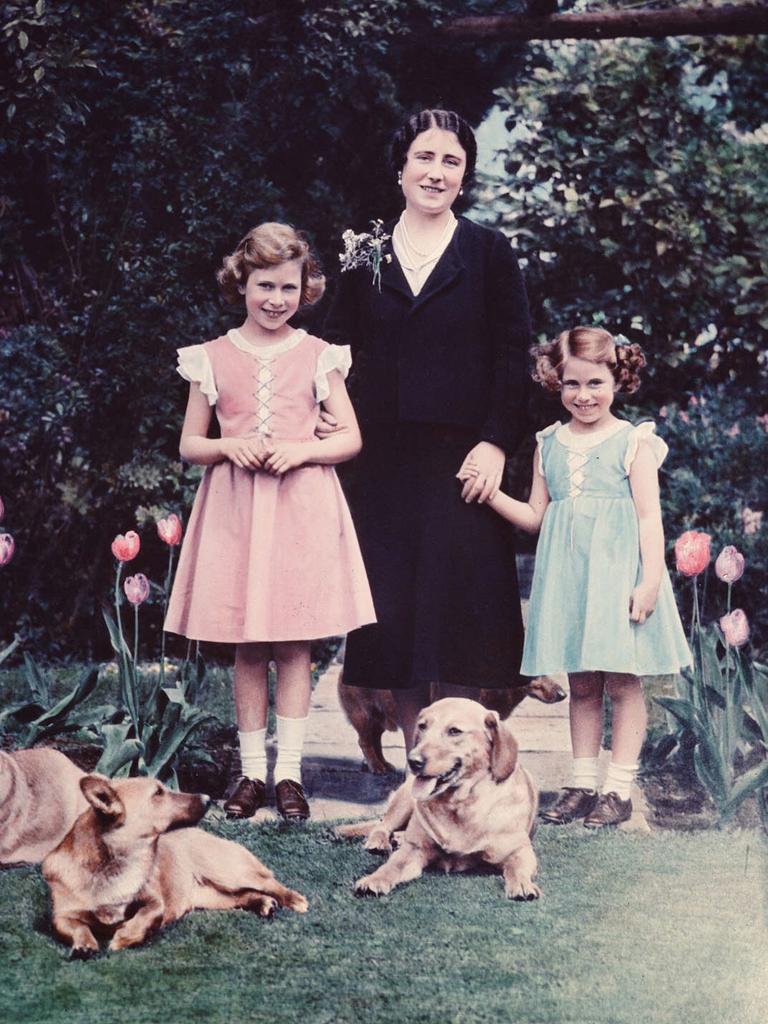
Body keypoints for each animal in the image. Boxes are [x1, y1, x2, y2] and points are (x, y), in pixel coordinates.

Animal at [43, 770, 309, 954]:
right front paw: (85, 944)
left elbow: (148, 915)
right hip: (212, 897)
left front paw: (125, 936)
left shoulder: (154, 901)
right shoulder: (61, 917)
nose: (208, 798)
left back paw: (292, 899)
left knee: (269, 883)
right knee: (244, 896)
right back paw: (264, 903)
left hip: (230, 871)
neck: (116, 862)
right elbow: (77, 927)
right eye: (158, 793)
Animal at [339, 696, 544, 905]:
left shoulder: (519, 850)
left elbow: (516, 869)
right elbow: (392, 866)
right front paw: (374, 879)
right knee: (382, 825)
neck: (460, 804)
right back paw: (380, 842)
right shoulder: (413, 851)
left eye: (454, 731)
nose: (413, 761)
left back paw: (398, 838)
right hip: (404, 800)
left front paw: (522, 884)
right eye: (422, 726)